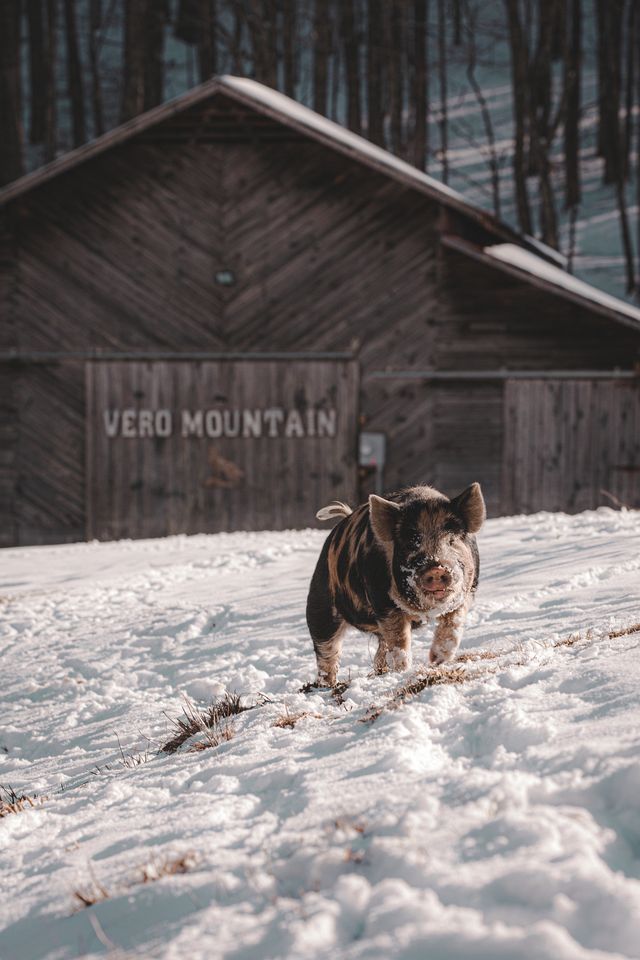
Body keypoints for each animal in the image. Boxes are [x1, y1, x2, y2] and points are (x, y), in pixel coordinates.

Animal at [306, 483, 485, 686]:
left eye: (452, 541)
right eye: (411, 543)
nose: (436, 569)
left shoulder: (466, 593)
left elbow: (453, 626)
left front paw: (436, 661)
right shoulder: (383, 601)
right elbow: (399, 639)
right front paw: (402, 671)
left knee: (381, 648)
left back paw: (380, 672)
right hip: (320, 607)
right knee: (327, 651)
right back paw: (327, 685)